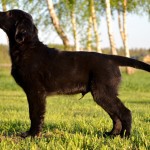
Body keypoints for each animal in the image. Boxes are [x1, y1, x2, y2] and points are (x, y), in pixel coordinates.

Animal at [0, 9, 150, 138]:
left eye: (9, 14)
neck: (26, 48)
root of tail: (110, 58)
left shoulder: (35, 91)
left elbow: (35, 114)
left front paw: (31, 134)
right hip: (103, 94)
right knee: (115, 116)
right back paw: (112, 134)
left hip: (103, 92)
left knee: (125, 112)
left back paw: (126, 136)